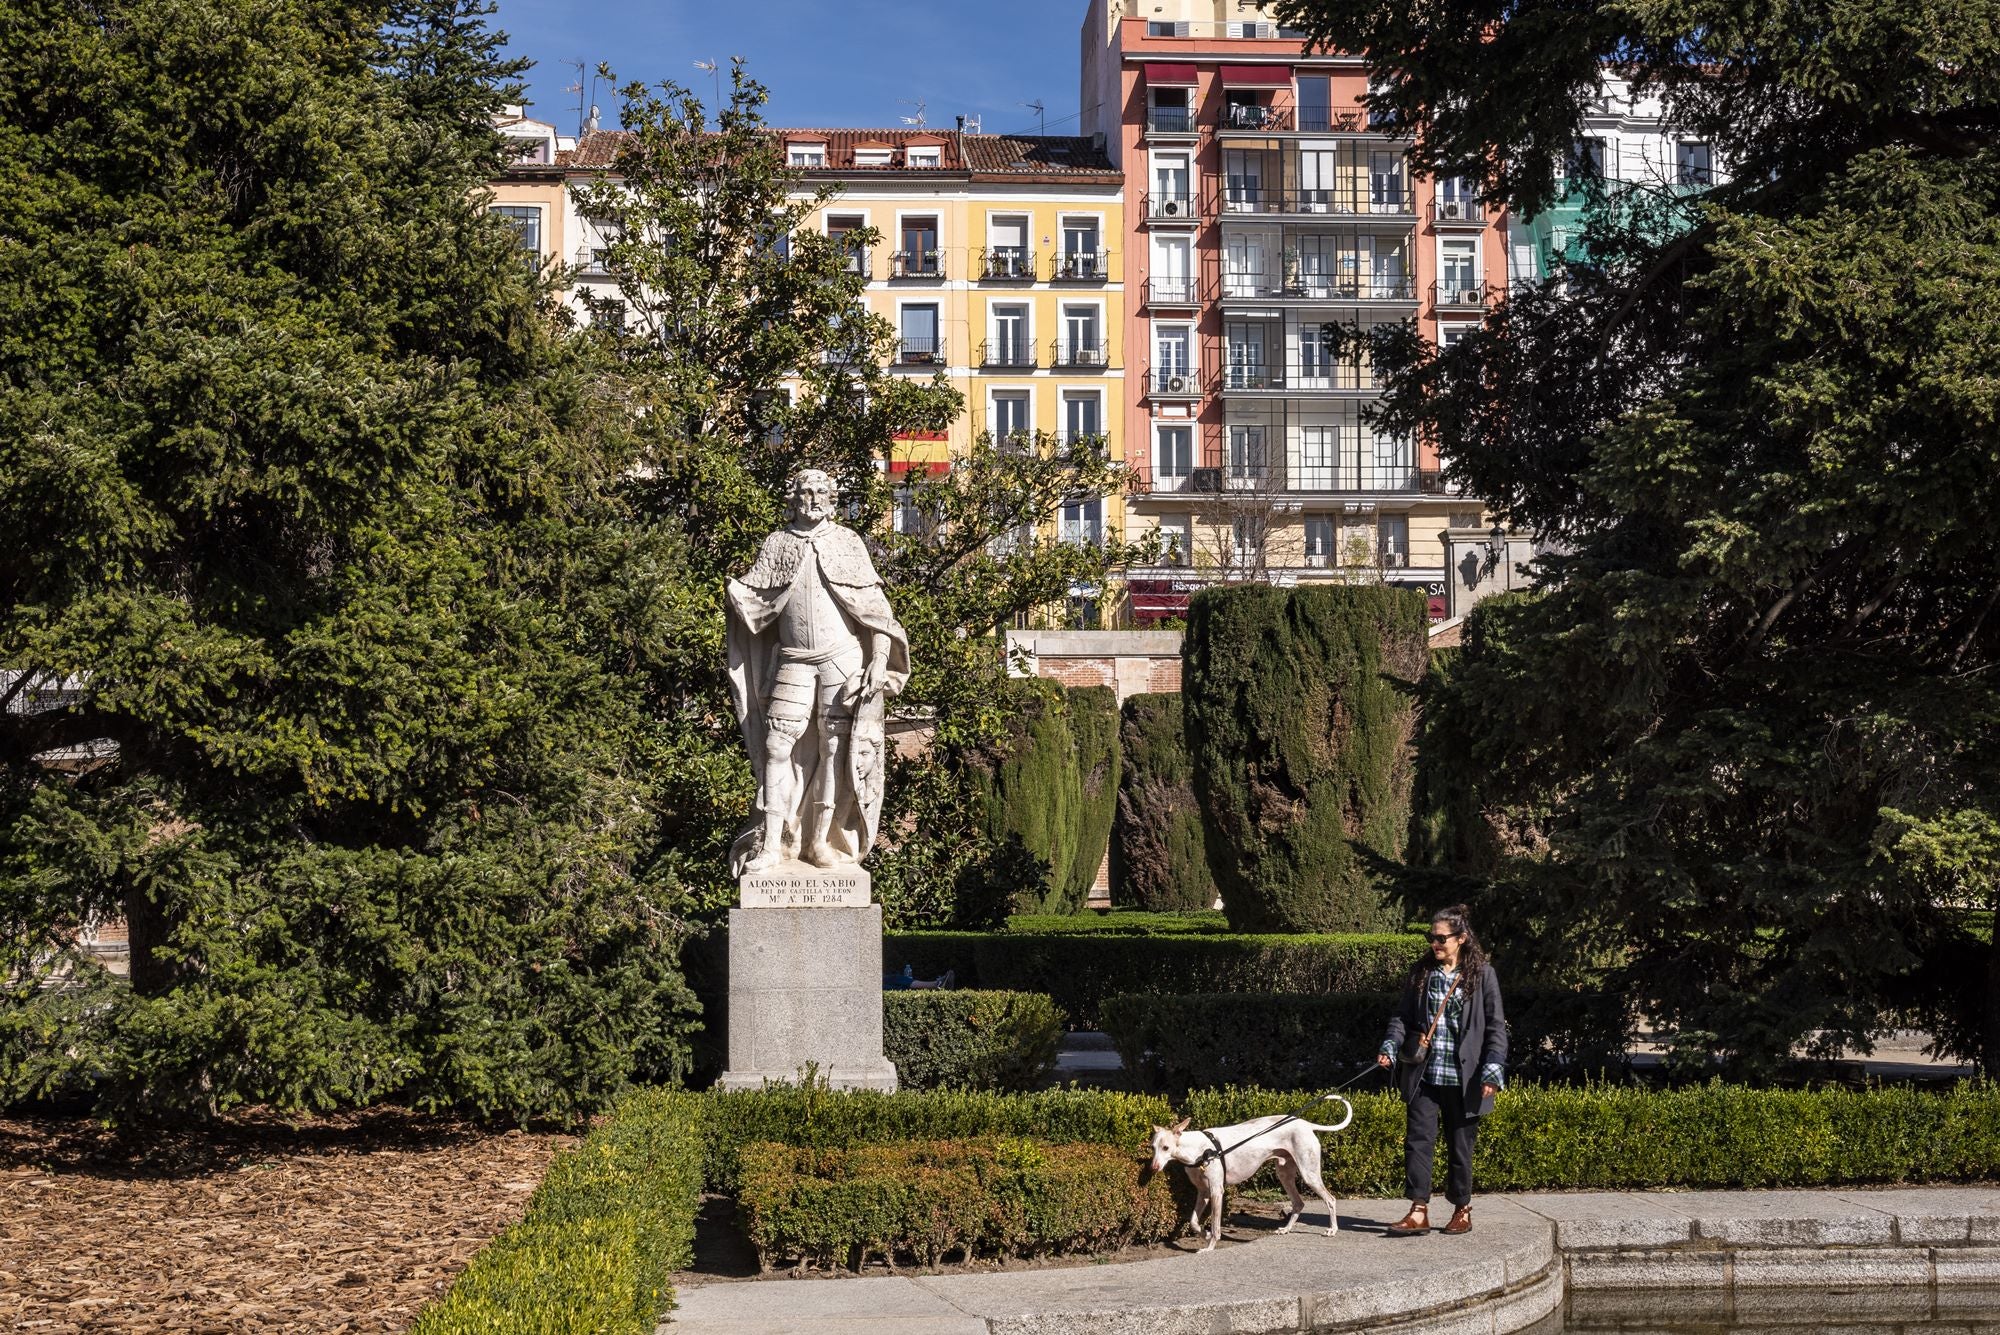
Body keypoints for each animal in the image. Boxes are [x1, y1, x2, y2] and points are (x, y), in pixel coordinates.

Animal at [1152, 1095, 1352, 1255]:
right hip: (1284, 1174)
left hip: (1309, 1174)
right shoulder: (1203, 1192)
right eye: (1152, 1147)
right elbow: (1193, 1221)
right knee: (1298, 1203)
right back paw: (1285, 1229)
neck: (1198, 1150)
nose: (1153, 1167)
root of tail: (1304, 1123)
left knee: (1330, 1199)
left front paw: (1209, 1246)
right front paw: (1205, 1234)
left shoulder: (1216, 1191)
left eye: (1166, 1148)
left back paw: (1332, 1230)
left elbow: (1216, 1226)